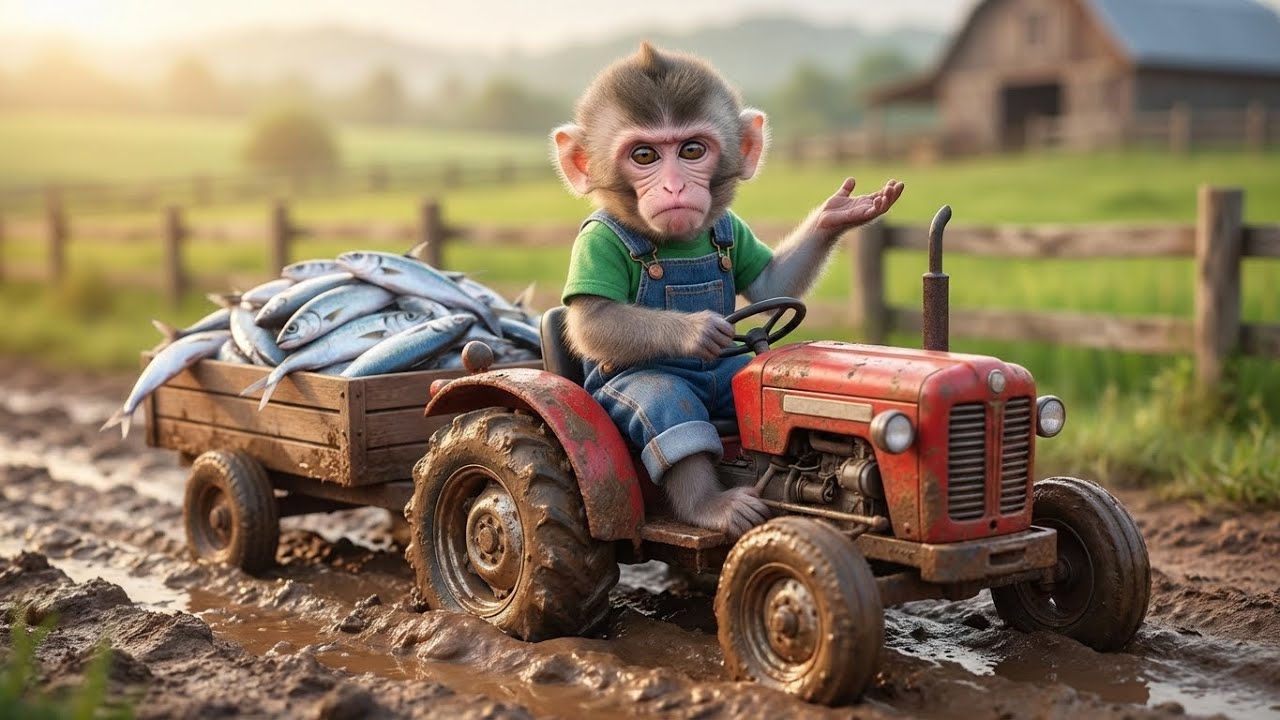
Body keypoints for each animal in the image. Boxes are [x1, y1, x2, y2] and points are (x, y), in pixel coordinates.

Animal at [552, 43, 904, 538]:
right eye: (644, 156)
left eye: (692, 150)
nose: (675, 185)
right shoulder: (596, 242)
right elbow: (591, 319)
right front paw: (700, 330)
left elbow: (771, 281)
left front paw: (838, 213)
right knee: (668, 412)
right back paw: (713, 507)